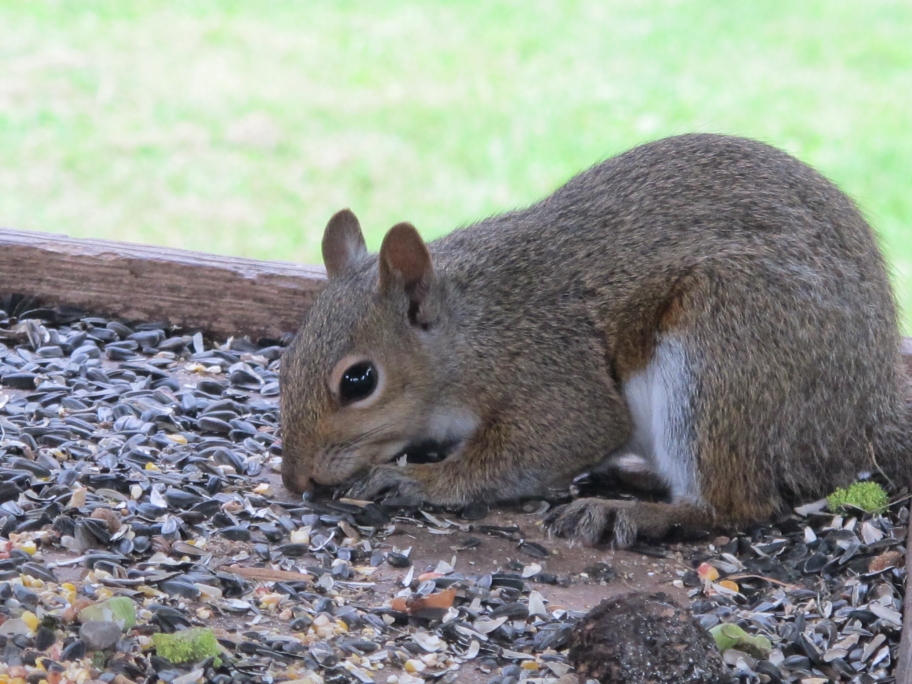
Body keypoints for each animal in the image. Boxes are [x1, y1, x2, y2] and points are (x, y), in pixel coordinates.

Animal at [282, 136, 908, 548]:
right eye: (285, 361)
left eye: (359, 380)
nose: (295, 479)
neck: (474, 329)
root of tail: (862, 418)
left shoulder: (552, 371)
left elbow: (554, 440)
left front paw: (416, 480)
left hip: (726, 347)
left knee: (736, 504)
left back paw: (629, 513)